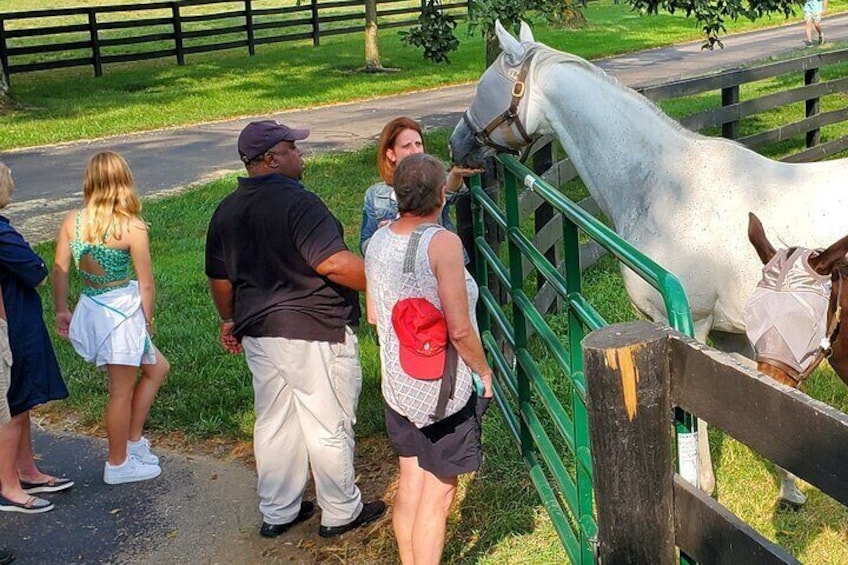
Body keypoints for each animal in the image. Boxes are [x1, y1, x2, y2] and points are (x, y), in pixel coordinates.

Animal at [450, 19, 848, 502]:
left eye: (483, 88)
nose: (456, 144)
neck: (667, 187)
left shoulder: (691, 328)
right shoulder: (734, 338)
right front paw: (791, 489)